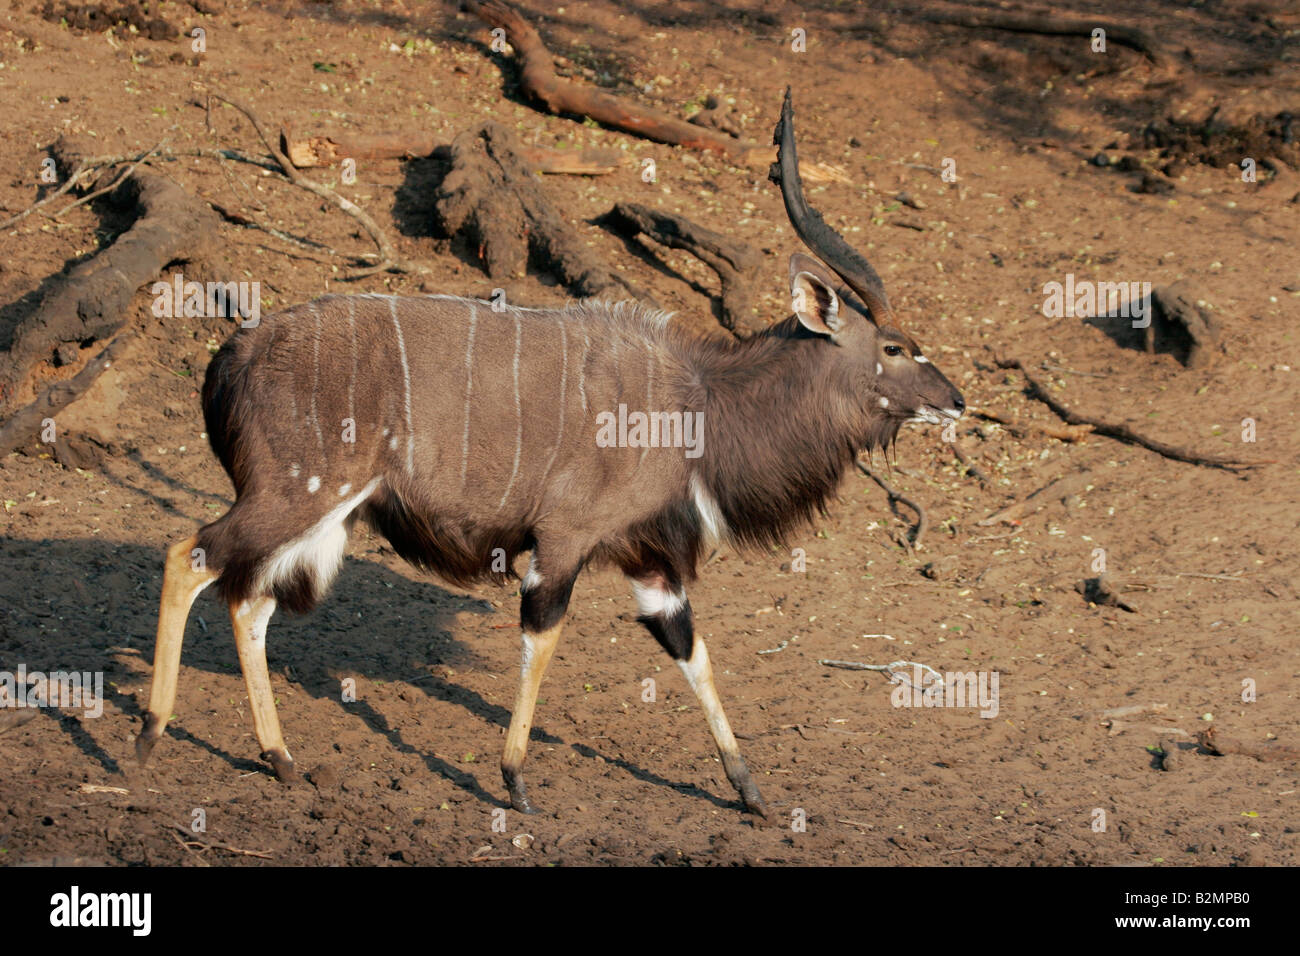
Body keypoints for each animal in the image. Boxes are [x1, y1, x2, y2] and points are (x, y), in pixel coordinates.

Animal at [135, 90, 965, 818]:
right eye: (897, 347)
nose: (956, 400)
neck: (696, 402)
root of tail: (230, 357)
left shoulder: (650, 559)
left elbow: (690, 649)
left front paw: (750, 792)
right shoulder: (564, 540)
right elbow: (543, 636)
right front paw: (514, 782)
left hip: (317, 517)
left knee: (248, 598)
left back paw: (280, 760)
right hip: (295, 493)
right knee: (190, 556)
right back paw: (147, 738)